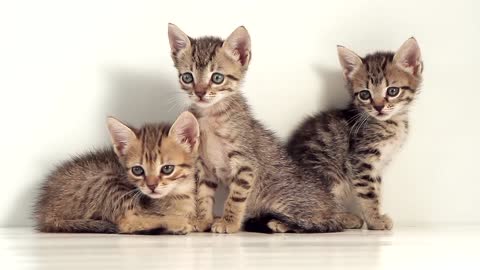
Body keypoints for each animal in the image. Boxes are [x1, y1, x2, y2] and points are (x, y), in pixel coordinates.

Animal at [34, 112, 199, 234]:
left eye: (167, 169)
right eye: (137, 170)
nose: (151, 186)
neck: (178, 194)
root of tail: (45, 211)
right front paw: (179, 221)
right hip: (107, 179)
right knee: (126, 224)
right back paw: (175, 224)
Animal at [167, 23, 344, 234]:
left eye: (217, 78)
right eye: (187, 77)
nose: (200, 93)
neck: (211, 116)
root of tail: (334, 207)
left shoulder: (246, 165)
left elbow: (235, 198)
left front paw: (229, 223)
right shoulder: (205, 168)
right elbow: (203, 195)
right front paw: (202, 220)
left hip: (282, 198)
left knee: (319, 223)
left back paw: (280, 224)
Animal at [286, 38, 422, 230]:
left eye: (392, 91)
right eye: (365, 94)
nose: (379, 107)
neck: (391, 123)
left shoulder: (377, 165)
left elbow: (376, 190)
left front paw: (375, 217)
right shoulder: (361, 159)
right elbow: (368, 193)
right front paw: (375, 220)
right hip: (328, 176)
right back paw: (344, 218)